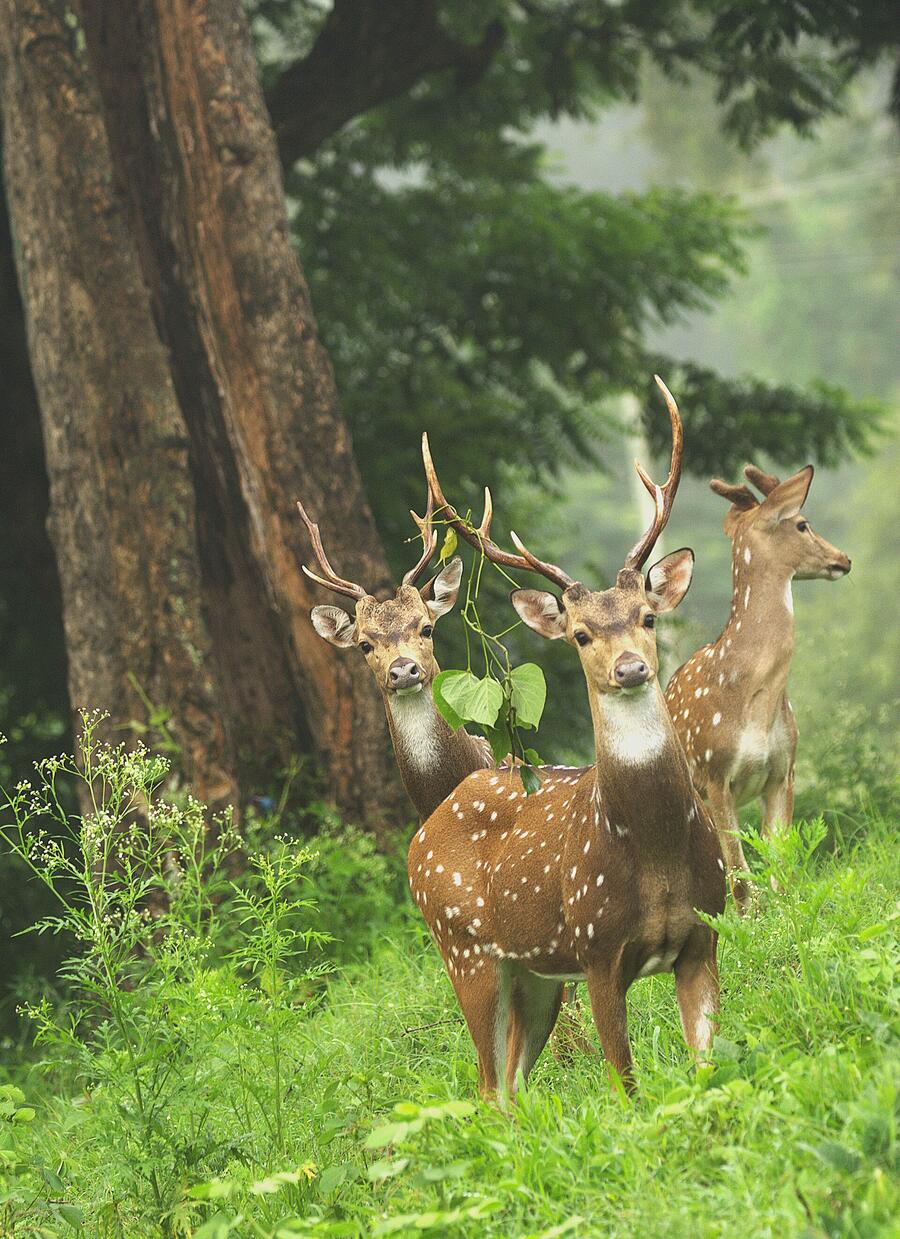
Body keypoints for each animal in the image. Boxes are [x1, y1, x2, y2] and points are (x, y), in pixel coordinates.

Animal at [409, 378, 727, 1099]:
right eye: (581, 635)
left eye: (647, 616)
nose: (631, 668)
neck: (655, 854)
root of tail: (421, 834)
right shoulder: (596, 948)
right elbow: (625, 1085)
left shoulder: (705, 934)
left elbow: (709, 1069)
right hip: (465, 949)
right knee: (487, 1085)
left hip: (534, 973)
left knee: (512, 1086)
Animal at [665, 463, 851, 913]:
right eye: (802, 523)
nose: (844, 558)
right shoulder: (714, 773)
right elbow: (739, 874)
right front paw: (748, 921)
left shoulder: (785, 770)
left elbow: (780, 864)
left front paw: (785, 916)